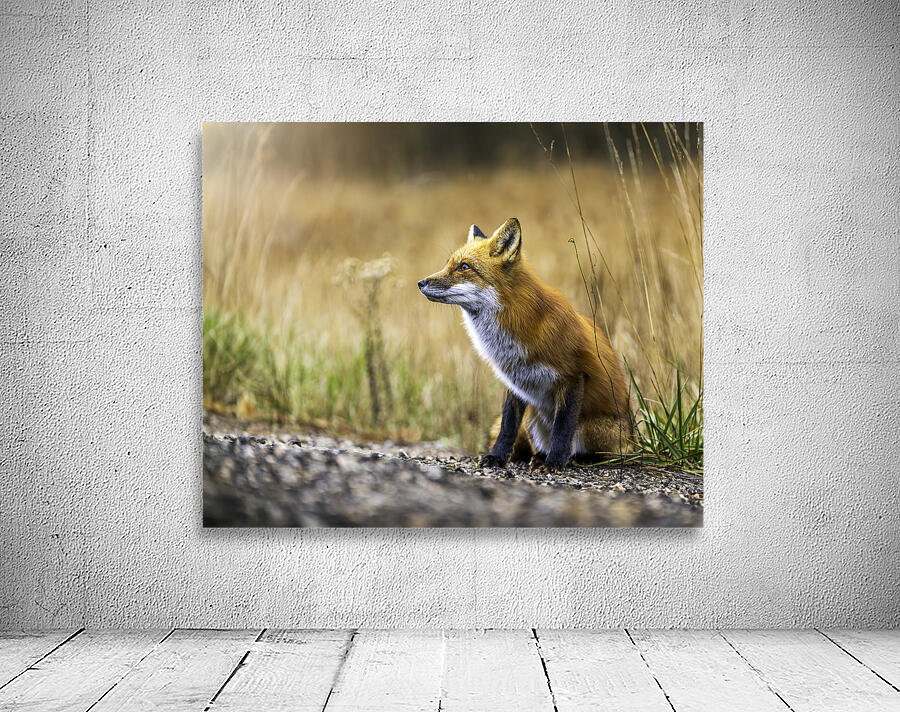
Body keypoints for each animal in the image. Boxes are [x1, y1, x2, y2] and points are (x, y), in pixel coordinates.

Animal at [417, 217, 632, 469]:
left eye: (464, 267)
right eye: (449, 264)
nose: (420, 283)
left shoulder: (573, 376)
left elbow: (562, 429)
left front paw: (555, 462)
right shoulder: (516, 378)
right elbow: (507, 426)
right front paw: (497, 456)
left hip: (596, 430)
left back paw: (576, 458)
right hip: (532, 419)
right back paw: (538, 455)